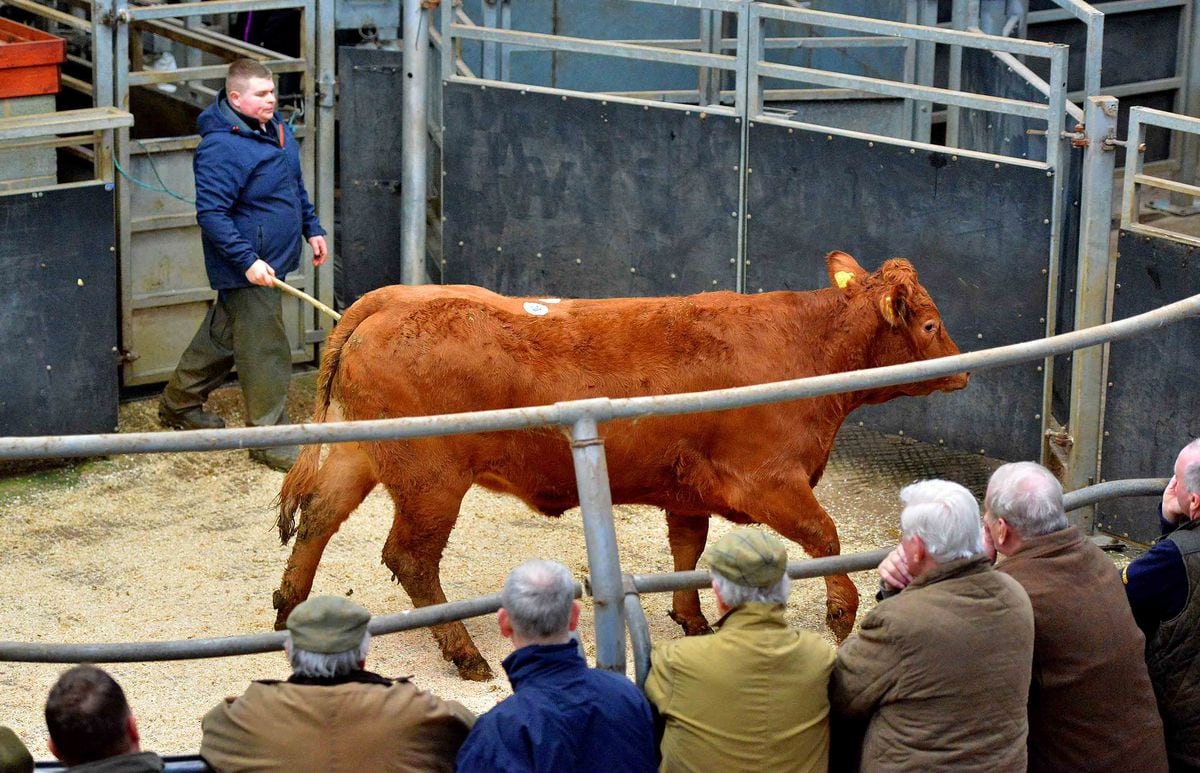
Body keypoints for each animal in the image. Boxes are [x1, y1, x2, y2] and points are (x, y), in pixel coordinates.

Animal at [276, 250, 969, 681]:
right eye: (931, 325)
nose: (963, 370)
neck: (804, 347)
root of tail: (390, 300)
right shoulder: (770, 481)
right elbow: (825, 538)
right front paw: (841, 613)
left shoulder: (689, 489)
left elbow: (689, 549)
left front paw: (692, 618)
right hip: (432, 482)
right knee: (411, 558)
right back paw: (464, 653)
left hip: (358, 454)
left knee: (318, 520)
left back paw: (289, 611)